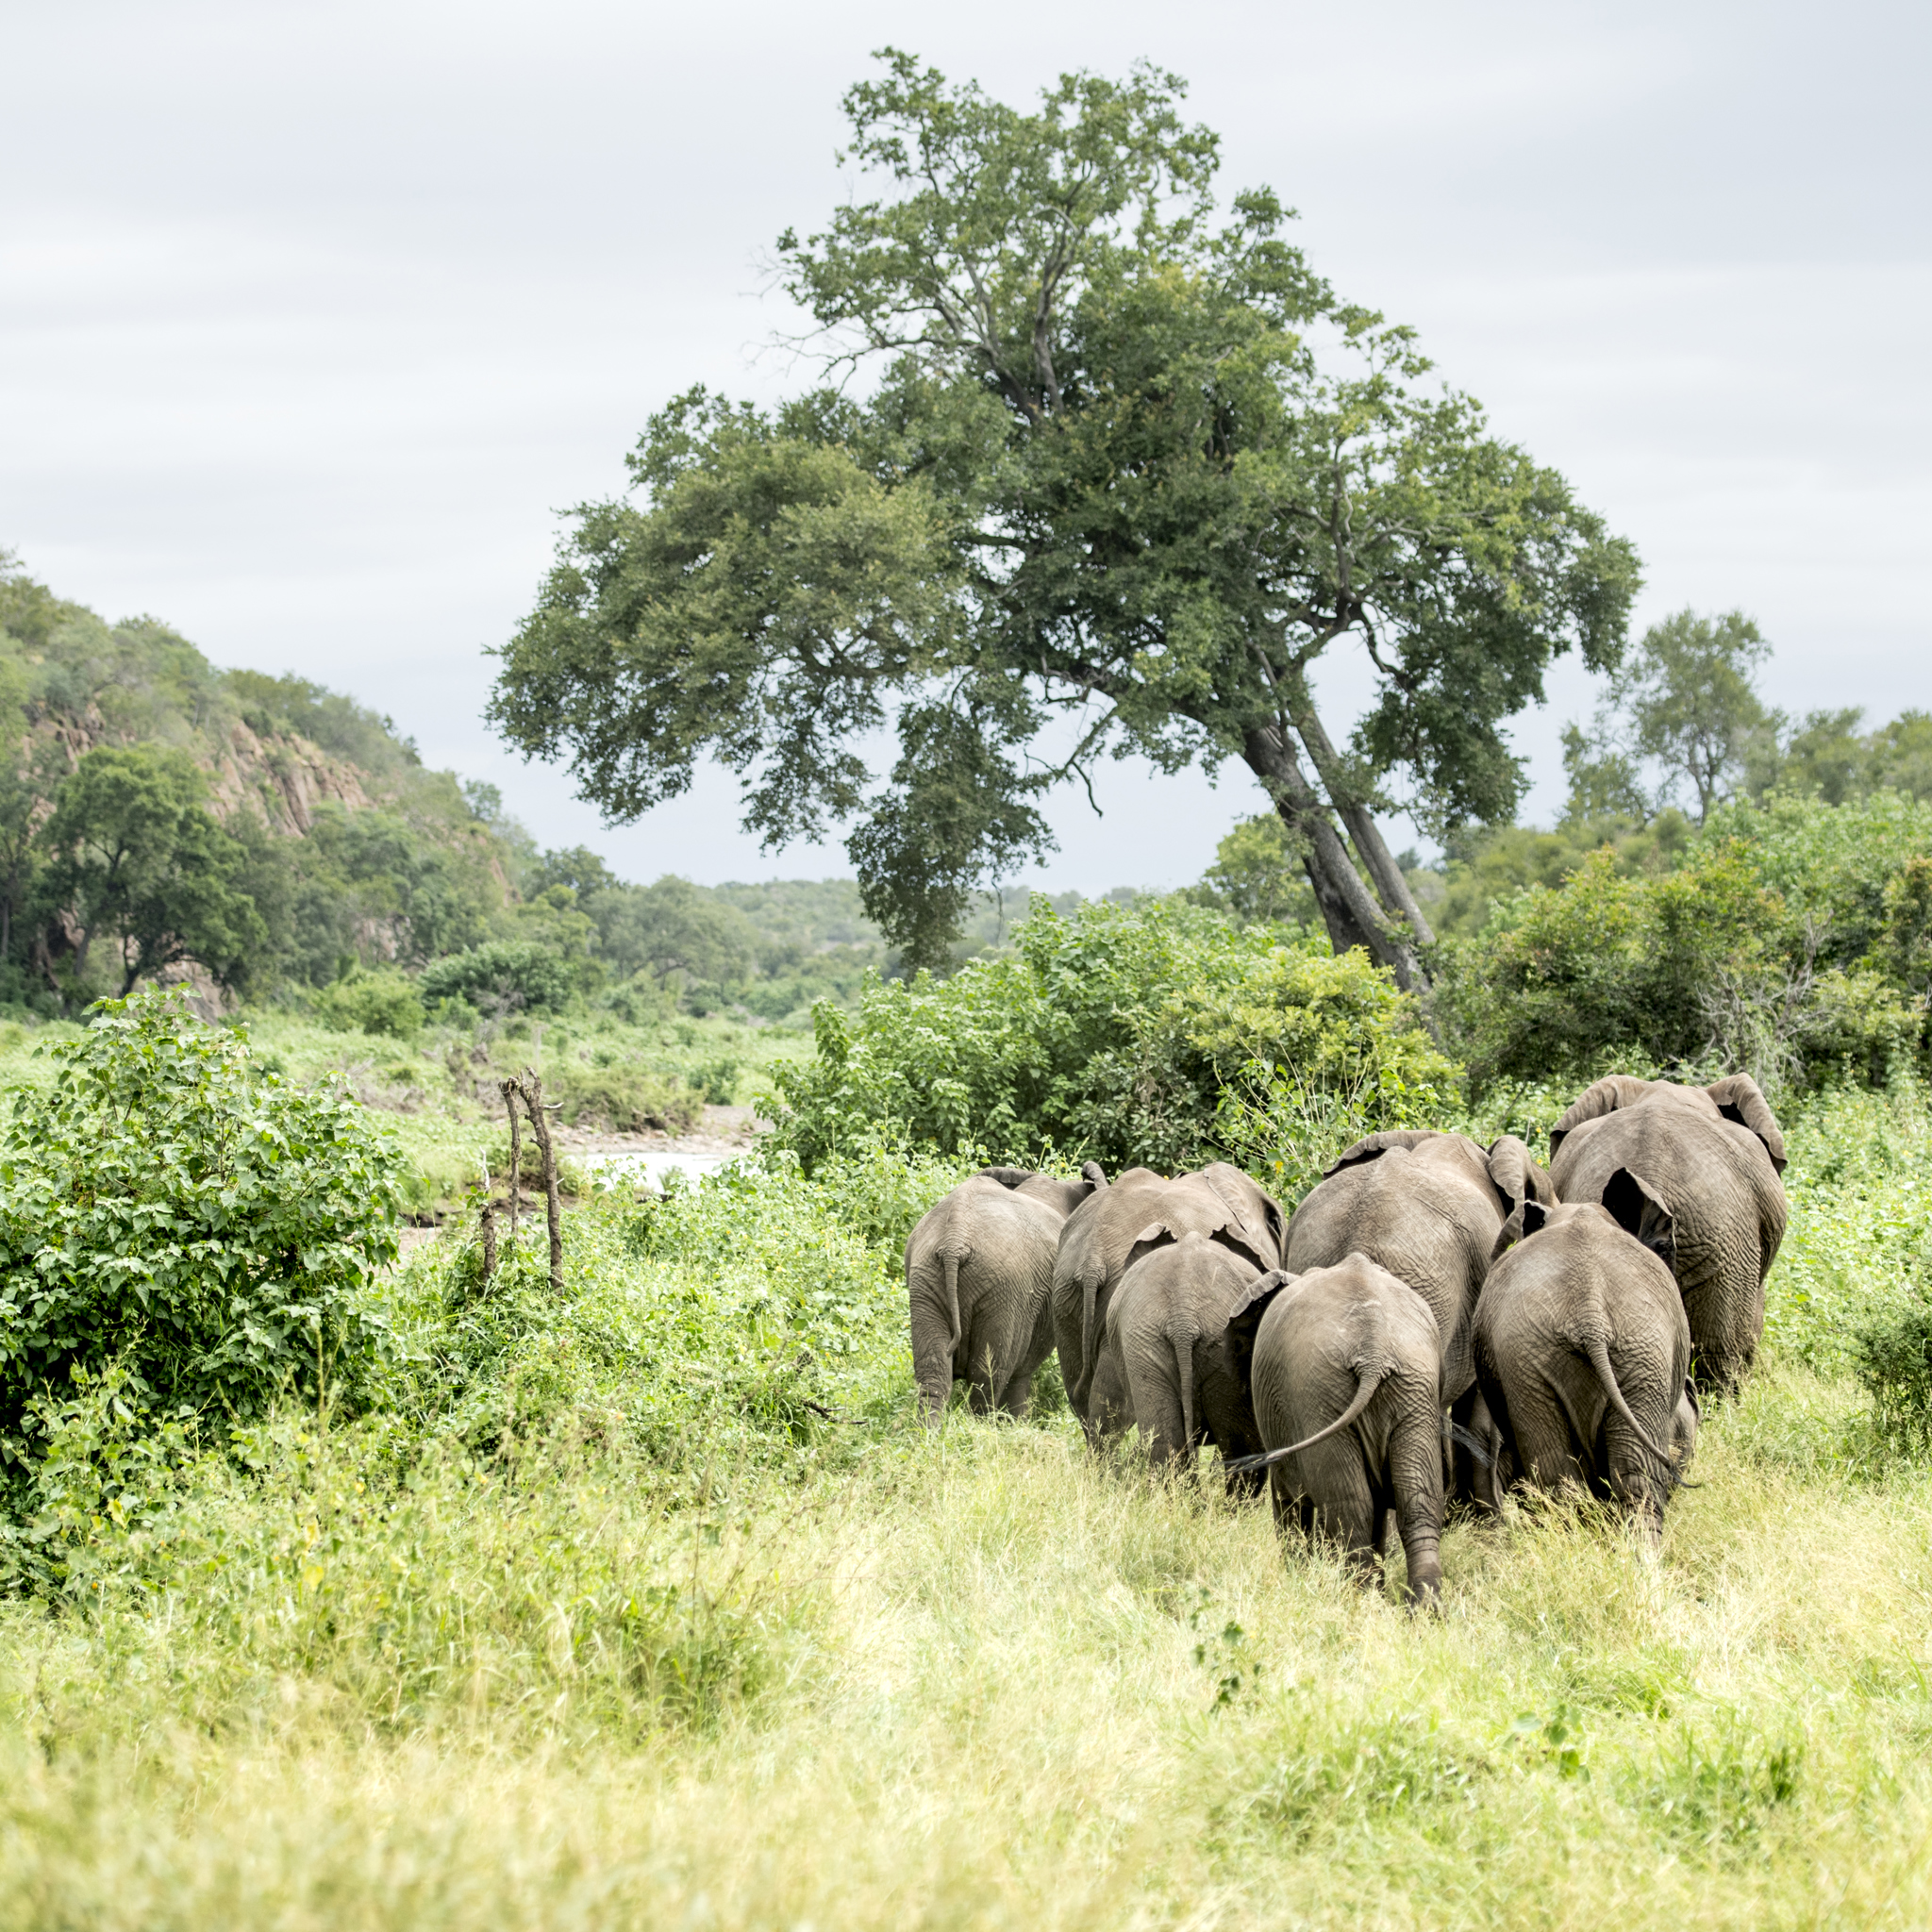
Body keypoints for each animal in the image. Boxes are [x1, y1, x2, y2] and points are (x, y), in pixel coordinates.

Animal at [906, 1161, 1107, 1421]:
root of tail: (954, 1240)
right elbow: (1019, 1373)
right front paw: (1018, 1423)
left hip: (925, 1278)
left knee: (934, 1372)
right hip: (1005, 1289)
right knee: (989, 1374)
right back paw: (981, 1425)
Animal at [1227, 1254, 1447, 1605]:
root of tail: (1373, 1350)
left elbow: (1288, 1498)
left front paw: (1297, 1576)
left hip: (1319, 1394)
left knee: (1350, 1506)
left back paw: (1360, 1601)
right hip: (1413, 1389)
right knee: (1417, 1501)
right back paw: (1422, 1607)